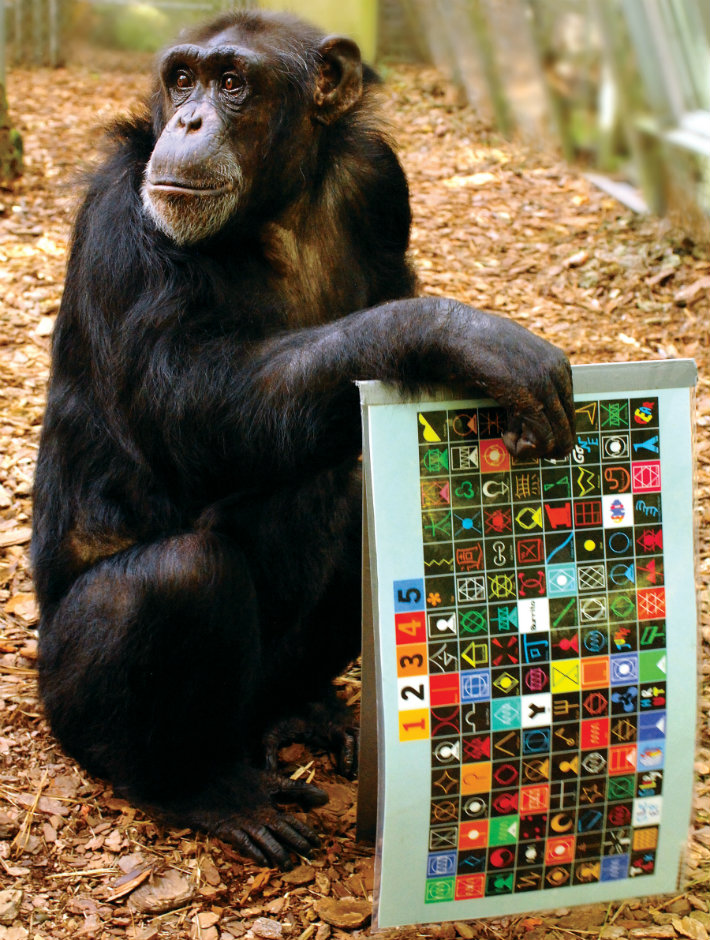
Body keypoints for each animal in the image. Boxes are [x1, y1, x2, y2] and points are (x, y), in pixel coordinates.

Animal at [33, 11, 580, 872]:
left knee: (354, 501)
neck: (277, 208)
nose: (189, 122)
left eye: (232, 83)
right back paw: (204, 791)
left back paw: (305, 711)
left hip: (267, 685)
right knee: (173, 578)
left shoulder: (381, 181)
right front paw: (460, 338)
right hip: (68, 707)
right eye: (181, 80)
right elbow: (188, 403)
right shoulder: (125, 217)